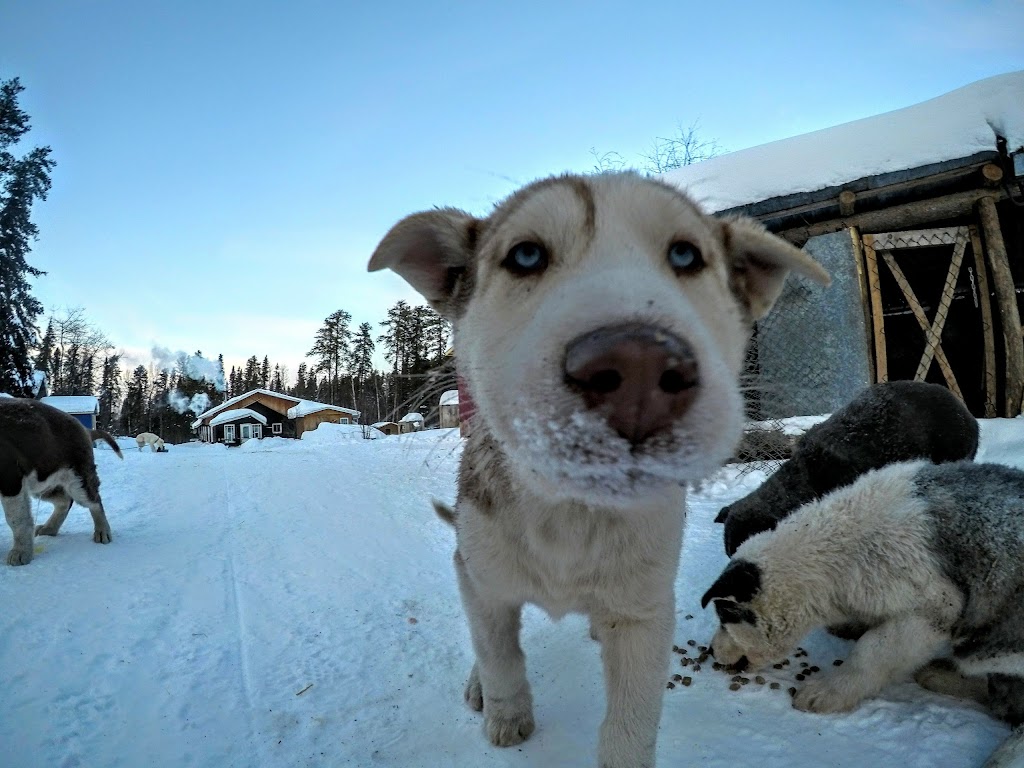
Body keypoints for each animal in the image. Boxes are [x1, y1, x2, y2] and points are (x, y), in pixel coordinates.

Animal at [370, 171, 831, 765]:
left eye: (686, 254)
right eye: (525, 255)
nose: (638, 367)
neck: (570, 511)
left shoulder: (645, 612)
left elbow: (631, 719)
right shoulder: (483, 578)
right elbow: (498, 653)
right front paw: (507, 716)